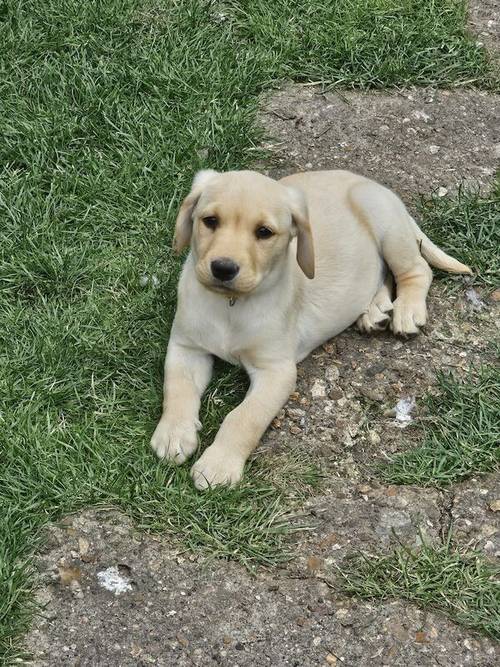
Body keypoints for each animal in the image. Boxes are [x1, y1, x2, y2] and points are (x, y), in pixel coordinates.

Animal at [150, 170, 470, 488]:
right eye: (210, 221)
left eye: (264, 232)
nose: (223, 268)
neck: (230, 305)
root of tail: (372, 184)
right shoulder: (185, 347)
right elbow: (177, 388)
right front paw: (174, 433)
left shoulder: (277, 371)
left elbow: (244, 417)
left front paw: (218, 464)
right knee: (383, 272)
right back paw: (375, 310)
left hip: (386, 225)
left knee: (416, 268)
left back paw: (407, 310)